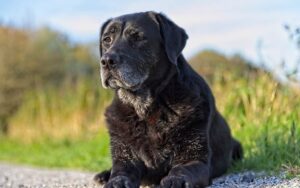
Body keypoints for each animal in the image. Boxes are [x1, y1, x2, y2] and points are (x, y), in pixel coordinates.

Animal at [95, 11, 243, 188]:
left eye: (138, 37)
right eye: (106, 40)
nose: (106, 61)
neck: (145, 107)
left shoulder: (194, 160)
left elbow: (181, 169)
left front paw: (175, 179)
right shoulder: (125, 159)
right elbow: (120, 173)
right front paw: (114, 180)